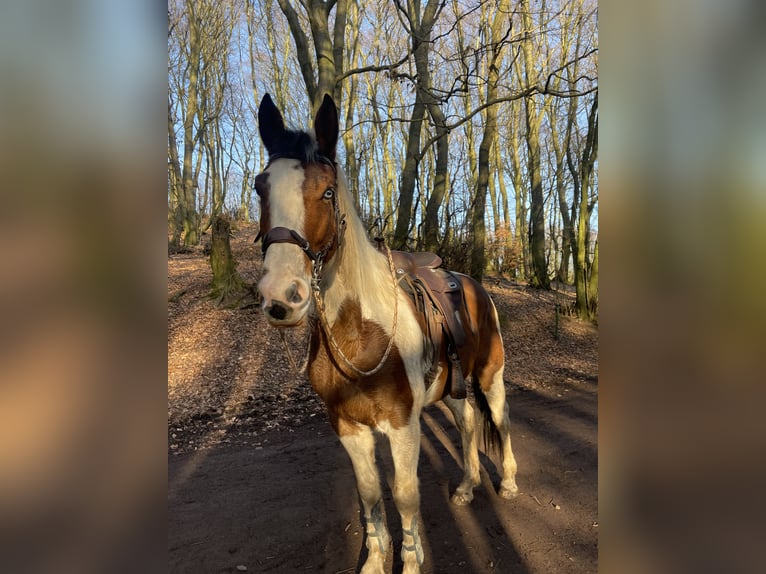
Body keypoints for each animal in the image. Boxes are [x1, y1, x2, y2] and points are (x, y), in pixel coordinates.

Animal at [254, 92, 519, 574]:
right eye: (259, 188)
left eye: (327, 191)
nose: (281, 297)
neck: (359, 334)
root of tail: (475, 285)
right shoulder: (347, 426)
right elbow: (371, 494)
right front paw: (376, 560)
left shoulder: (402, 425)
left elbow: (406, 496)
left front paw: (410, 561)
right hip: (451, 389)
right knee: (469, 421)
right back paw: (467, 487)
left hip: (491, 376)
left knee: (501, 418)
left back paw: (506, 482)